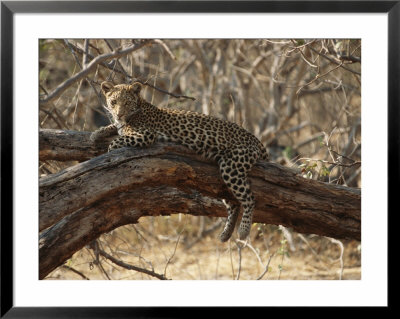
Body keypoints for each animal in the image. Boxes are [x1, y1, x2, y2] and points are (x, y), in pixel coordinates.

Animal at [91, 82, 268, 242]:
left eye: (127, 103)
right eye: (114, 102)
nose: (119, 114)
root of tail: (256, 140)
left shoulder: (145, 135)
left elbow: (115, 142)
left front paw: (109, 149)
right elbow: (114, 127)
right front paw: (97, 133)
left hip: (231, 166)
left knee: (249, 198)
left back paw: (243, 230)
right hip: (222, 175)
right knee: (234, 203)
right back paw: (226, 234)